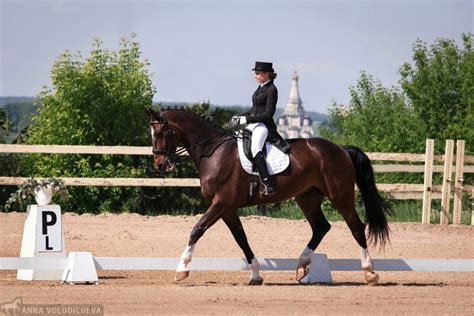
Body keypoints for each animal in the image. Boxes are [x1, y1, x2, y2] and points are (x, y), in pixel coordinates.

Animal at [146, 107, 390, 286]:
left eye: (162, 133)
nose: (160, 165)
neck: (213, 152)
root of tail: (341, 149)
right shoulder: (228, 209)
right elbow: (241, 239)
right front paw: (255, 275)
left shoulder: (221, 203)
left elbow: (197, 229)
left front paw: (181, 270)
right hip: (307, 198)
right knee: (321, 227)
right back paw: (302, 266)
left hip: (340, 196)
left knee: (356, 226)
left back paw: (370, 273)